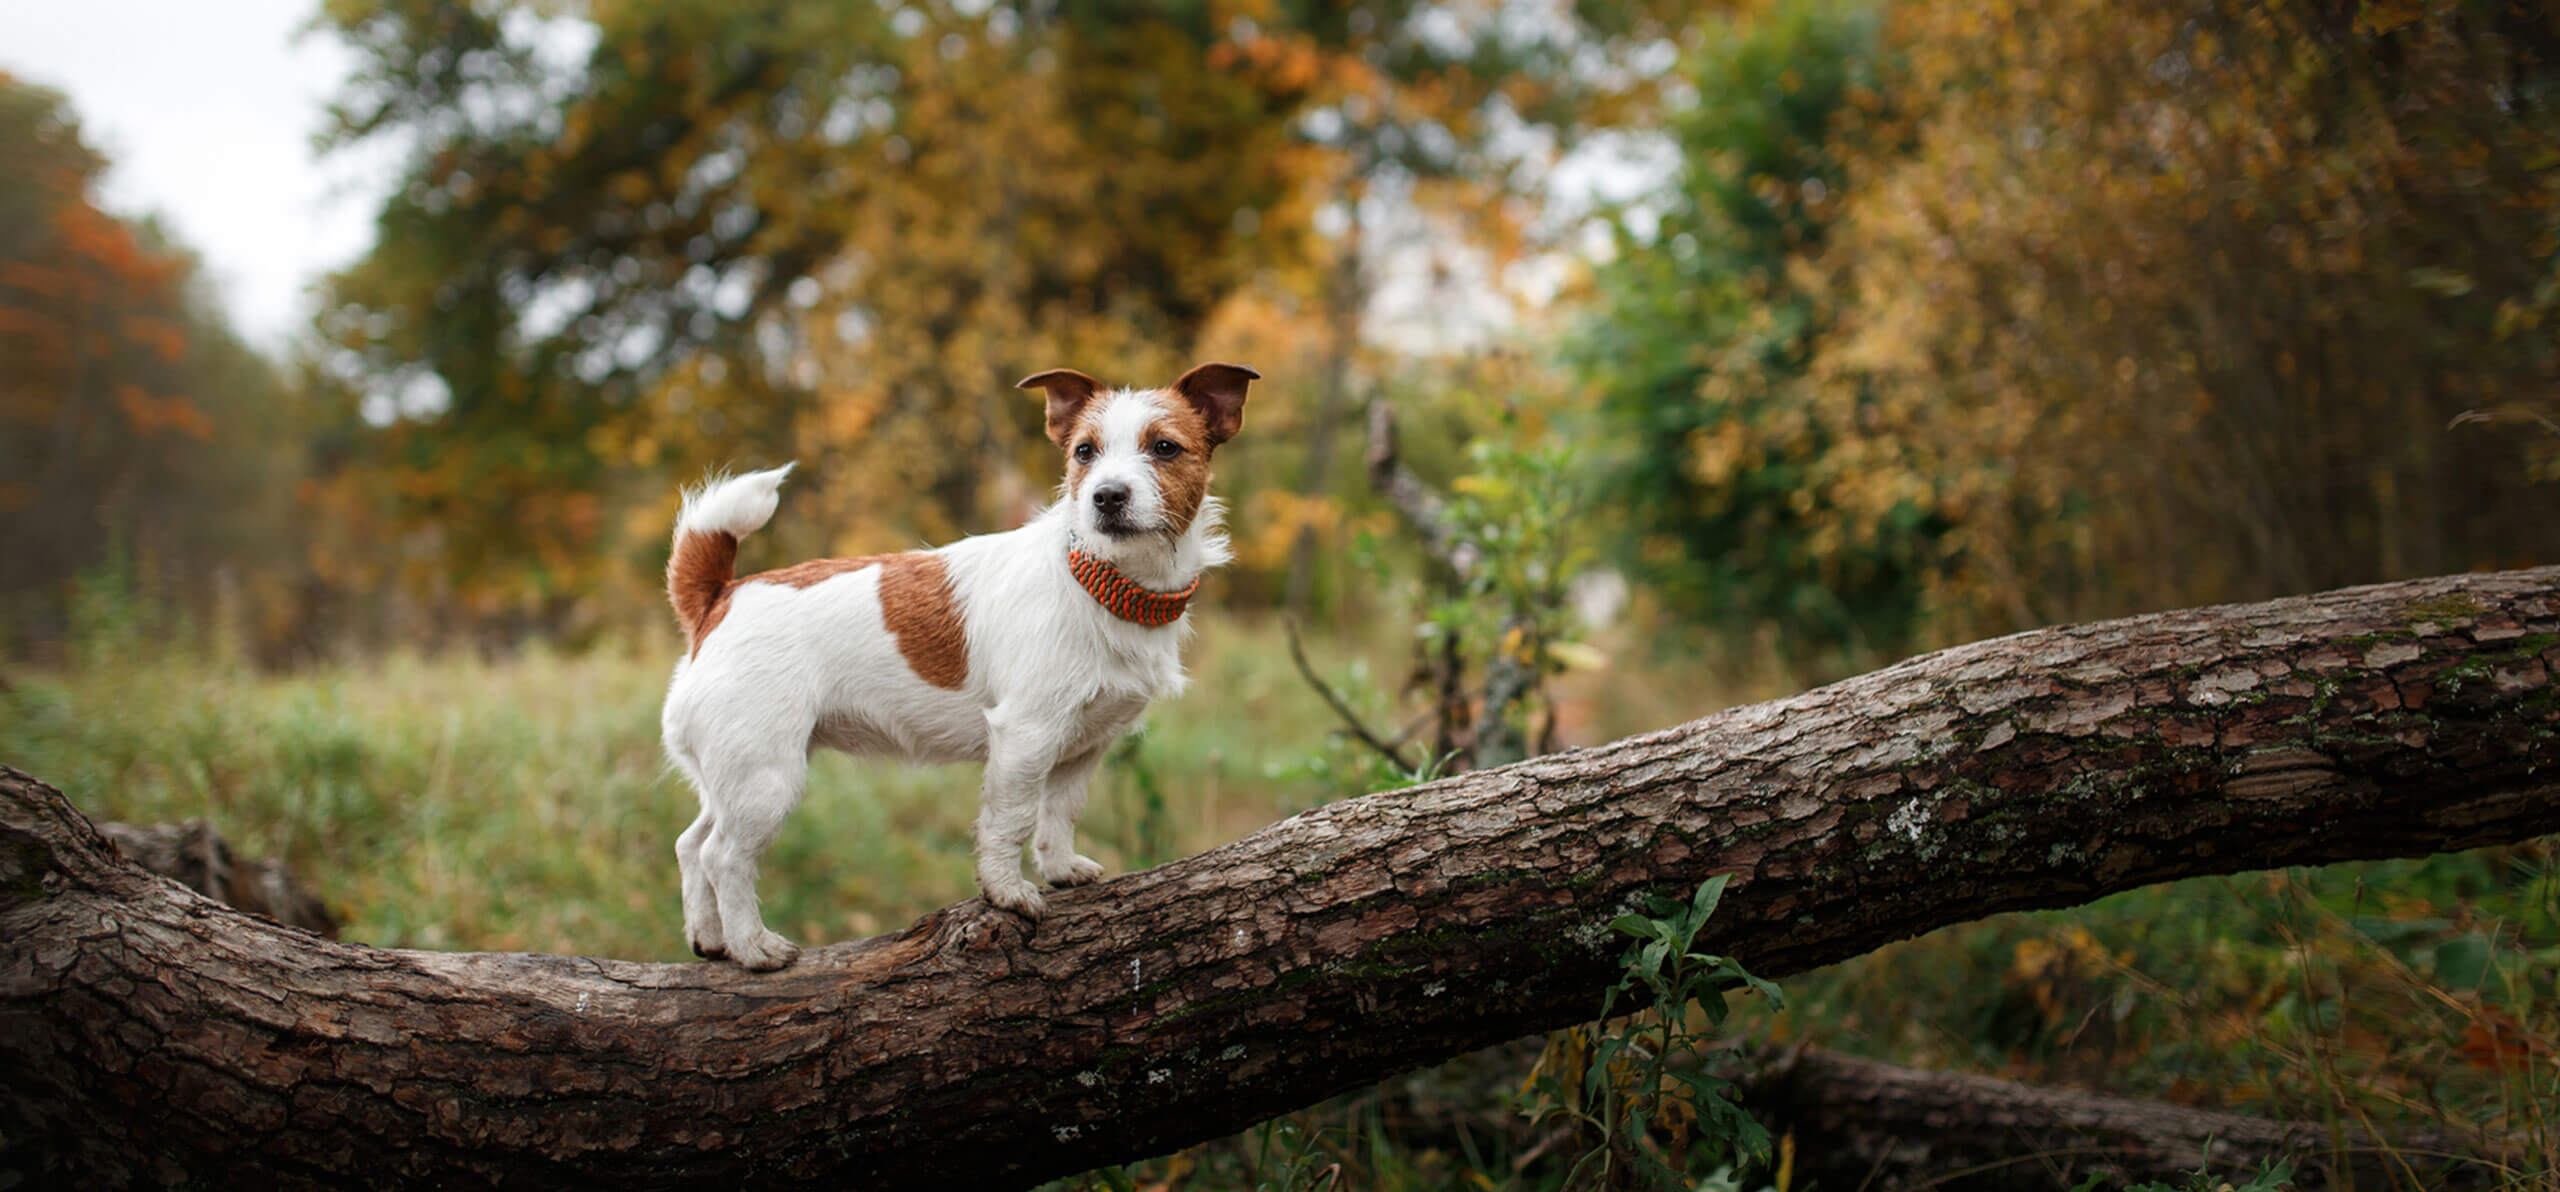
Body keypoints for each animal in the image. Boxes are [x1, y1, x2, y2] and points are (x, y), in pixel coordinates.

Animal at [660, 360, 1259, 966]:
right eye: (1084, 452)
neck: (1098, 579)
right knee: (723, 856)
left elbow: (1059, 812)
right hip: (766, 777)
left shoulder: (1083, 746)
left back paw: (709, 937)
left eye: (1164, 448)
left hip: (736, 774)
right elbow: (1011, 820)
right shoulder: (1024, 736)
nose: (1106, 496)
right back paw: (751, 946)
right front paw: (1007, 892)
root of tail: (719, 597)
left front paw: (1060, 868)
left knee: (690, 843)